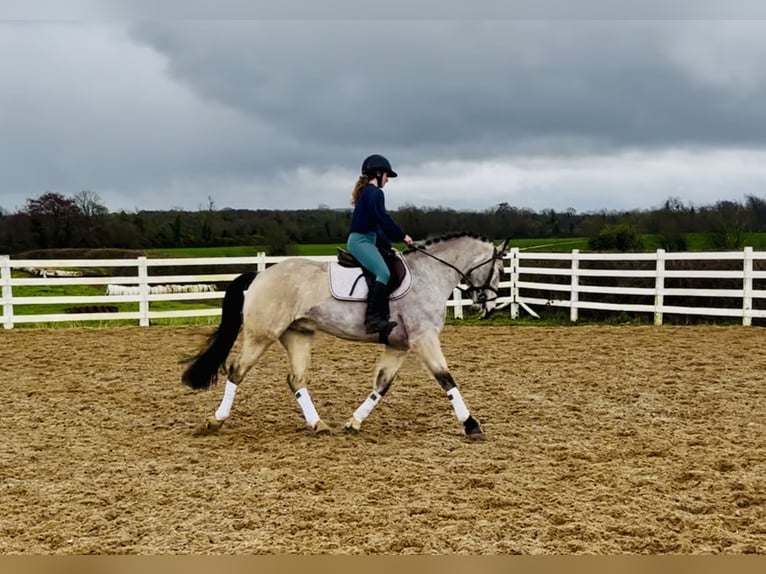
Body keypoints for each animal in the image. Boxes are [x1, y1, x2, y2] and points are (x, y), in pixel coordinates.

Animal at [182, 232, 510, 440]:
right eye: (499, 268)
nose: (487, 306)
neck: (429, 274)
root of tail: (261, 274)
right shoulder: (423, 338)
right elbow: (446, 379)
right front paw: (471, 425)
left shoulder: (399, 346)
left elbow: (381, 385)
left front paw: (354, 423)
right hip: (261, 335)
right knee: (237, 371)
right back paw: (215, 421)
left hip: (298, 335)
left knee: (296, 379)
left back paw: (318, 424)